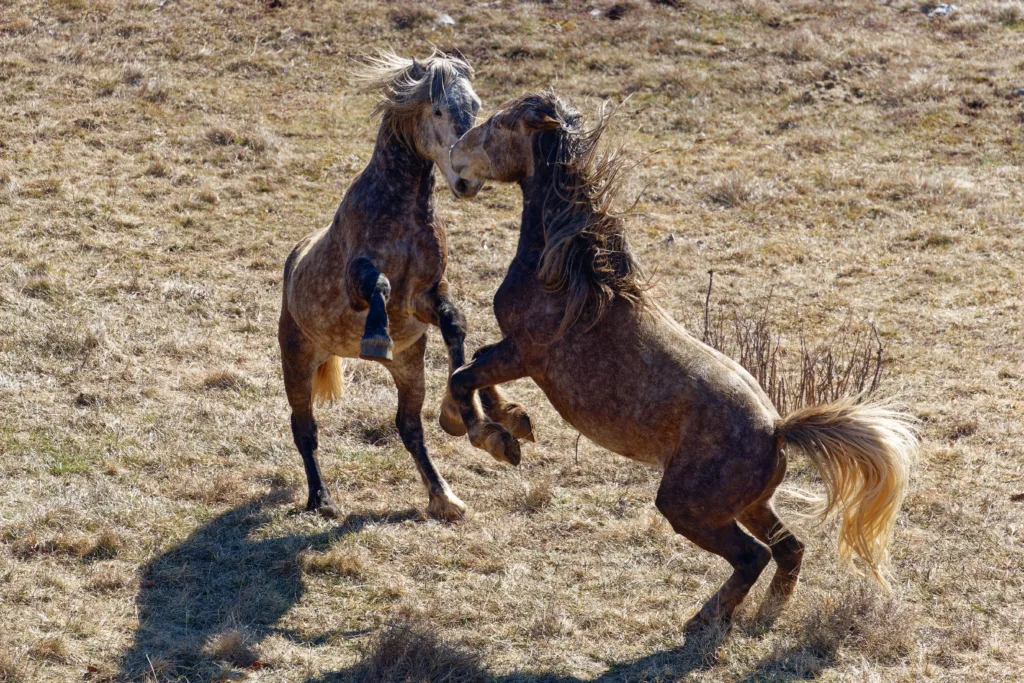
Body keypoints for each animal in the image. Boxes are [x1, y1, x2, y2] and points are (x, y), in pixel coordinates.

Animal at [280, 52, 536, 524]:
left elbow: (455, 327)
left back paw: (446, 494)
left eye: (476, 106)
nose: (468, 181)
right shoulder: (359, 285)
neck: (401, 211)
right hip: (298, 358)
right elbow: (377, 283)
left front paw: (475, 423)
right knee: (304, 427)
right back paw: (322, 500)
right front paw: (376, 337)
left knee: (408, 426)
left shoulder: (424, 297)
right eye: (437, 110)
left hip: (408, 367)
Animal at [452, 92, 917, 630]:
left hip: (686, 506)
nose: (457, 161)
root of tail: (777, 430)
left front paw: (495, 439)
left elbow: (463, 377)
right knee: (790, 548)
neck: (571, 276)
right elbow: (476, 372)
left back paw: (706, 618)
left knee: (754, 555)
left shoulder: (525, 353)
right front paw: (515, 425)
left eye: (498, 125)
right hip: (750, 504)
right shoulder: (514, 352)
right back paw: (765, 615)